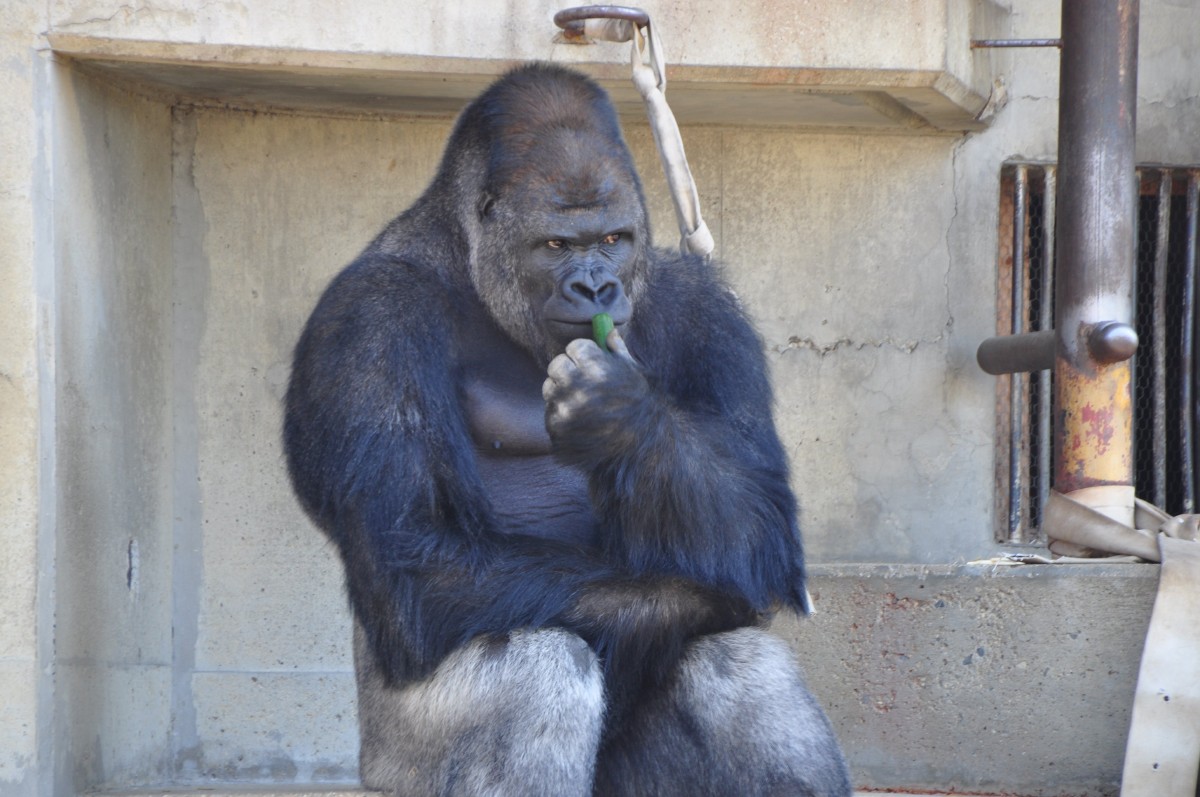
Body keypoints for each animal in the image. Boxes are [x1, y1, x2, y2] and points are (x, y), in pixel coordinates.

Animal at [284, 63, 849, 797]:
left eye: (612, 240)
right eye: (556, 245)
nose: (596, 289)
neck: (469, 260)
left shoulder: (708, 311)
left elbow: (761, 518)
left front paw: (620, 417)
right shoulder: (367, 322)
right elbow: (416, 547)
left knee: (737, 663)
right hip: (390, 767)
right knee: (533, 660)